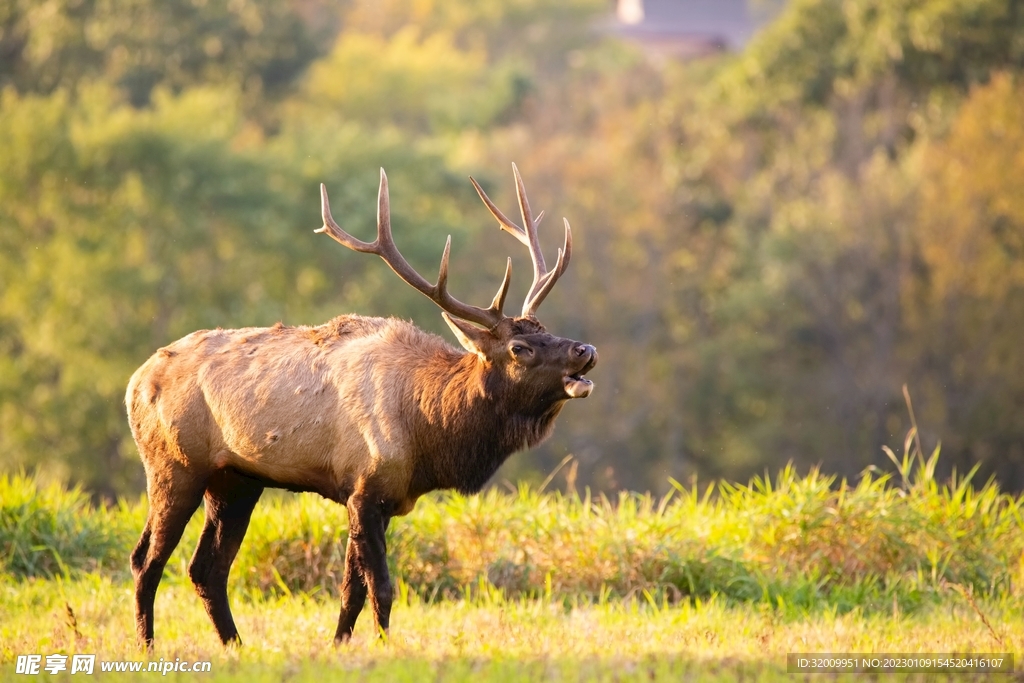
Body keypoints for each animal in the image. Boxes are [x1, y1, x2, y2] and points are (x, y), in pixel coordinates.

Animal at [125, 164, 597, 648]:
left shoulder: (379, 498)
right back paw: (147, 645)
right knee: (147, 560)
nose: (585, 350)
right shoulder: (365, 488)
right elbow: (382, 587)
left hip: (235, 480)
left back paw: (235, 645)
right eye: (520, 348)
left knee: (207, 568)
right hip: (174, 465)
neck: (429, 433)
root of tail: (135, 381)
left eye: (547, 329)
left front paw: (339, 644)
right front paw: (384, 647)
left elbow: (351, 590)